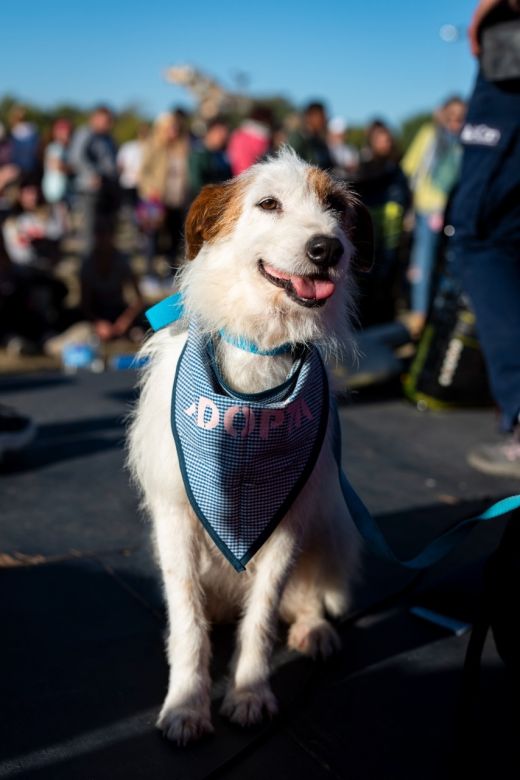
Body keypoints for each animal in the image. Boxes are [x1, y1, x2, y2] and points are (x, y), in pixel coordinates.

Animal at [129, 149, 374, 748]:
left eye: (335, 207)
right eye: (268, 204)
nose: (327, 248)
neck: (259, 347)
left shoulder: (287, 521)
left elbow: (261, 618)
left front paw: (250, 693)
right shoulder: (175, 519)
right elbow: (188, 623)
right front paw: (187, 704)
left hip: (332, 523)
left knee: (306, 599)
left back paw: (314, 630)